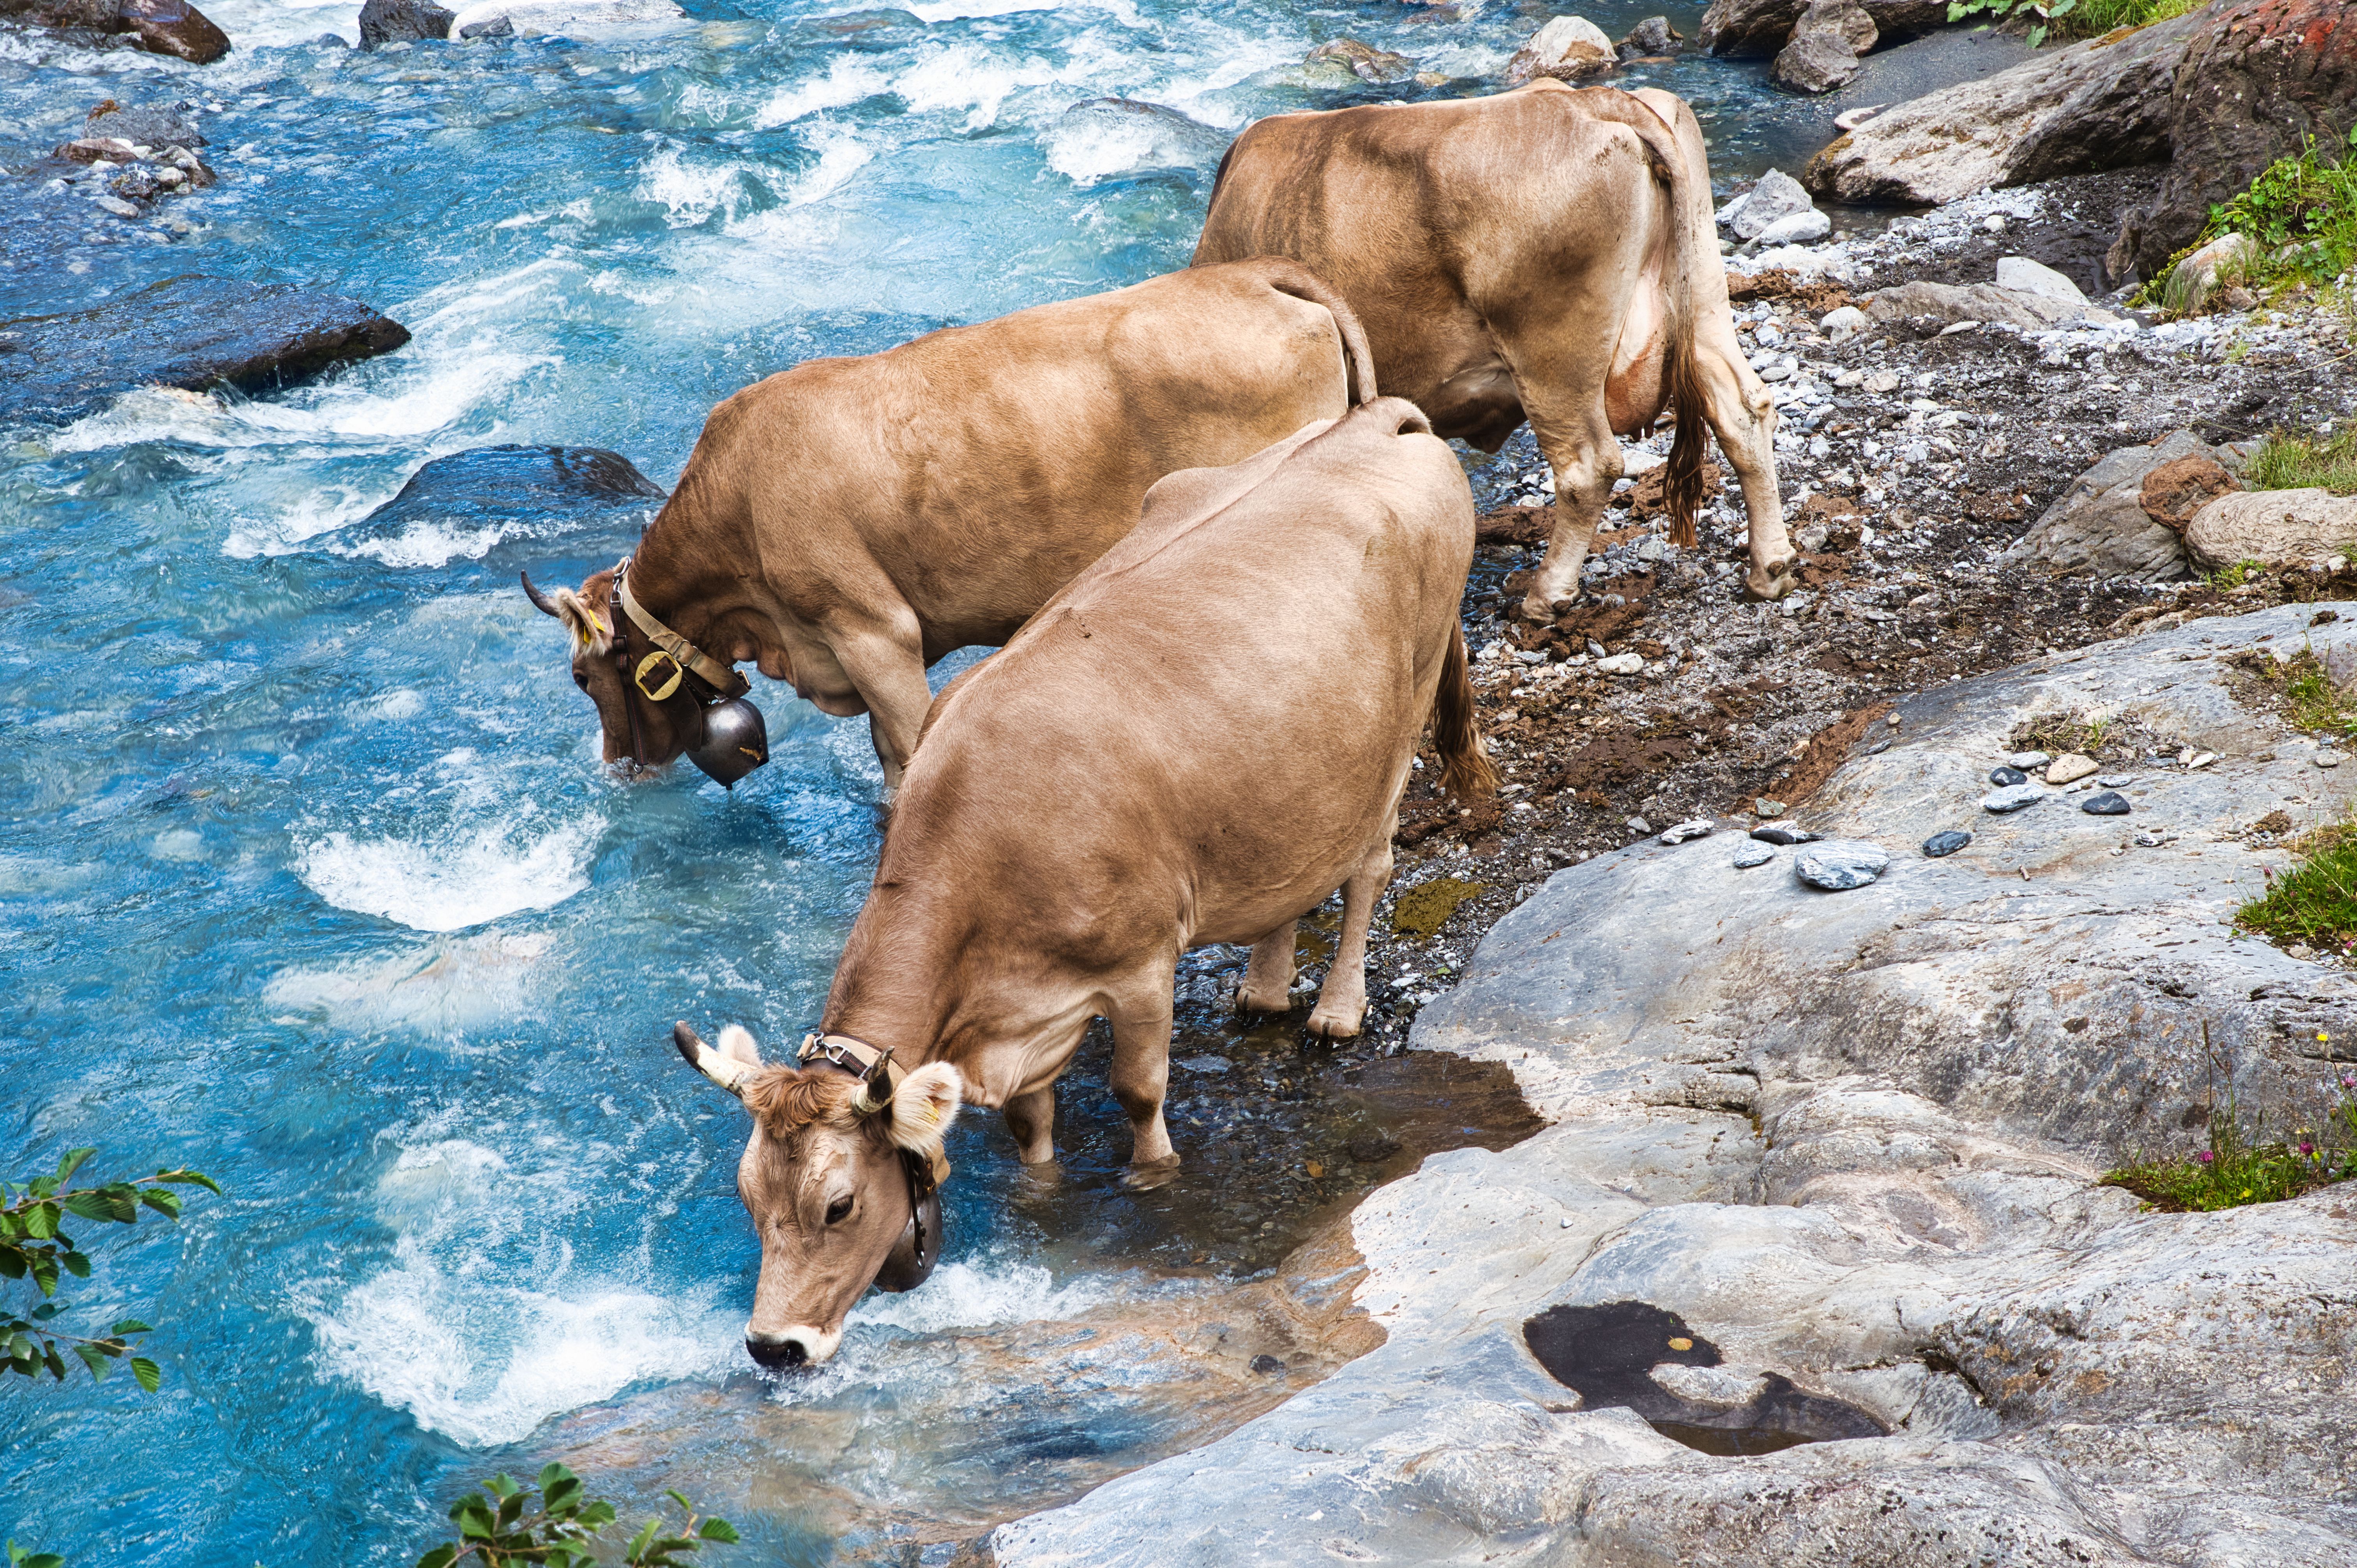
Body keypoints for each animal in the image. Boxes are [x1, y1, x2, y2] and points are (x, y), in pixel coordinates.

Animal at [668, 397, 1495, 1367]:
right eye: (749, 1194)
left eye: (839, 1204)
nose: (773, 1344)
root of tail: (1374, 419)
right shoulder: (1023, 1010)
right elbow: (1032, 1125)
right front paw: (1042, 1194)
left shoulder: (1140, 967)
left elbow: (1138, 1091)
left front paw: (1154, 1177)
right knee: (1291, 881)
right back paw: (1262, 988)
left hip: (1401, 727)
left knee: (1369, 869)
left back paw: (1336, 1007)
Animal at [1192, 81, 1796, 616]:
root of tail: (1593, 99)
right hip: (1705, 297)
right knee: (1743, 409)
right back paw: (1770, 569)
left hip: (1553, 352)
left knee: (1587, 466)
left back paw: (1545, 596)